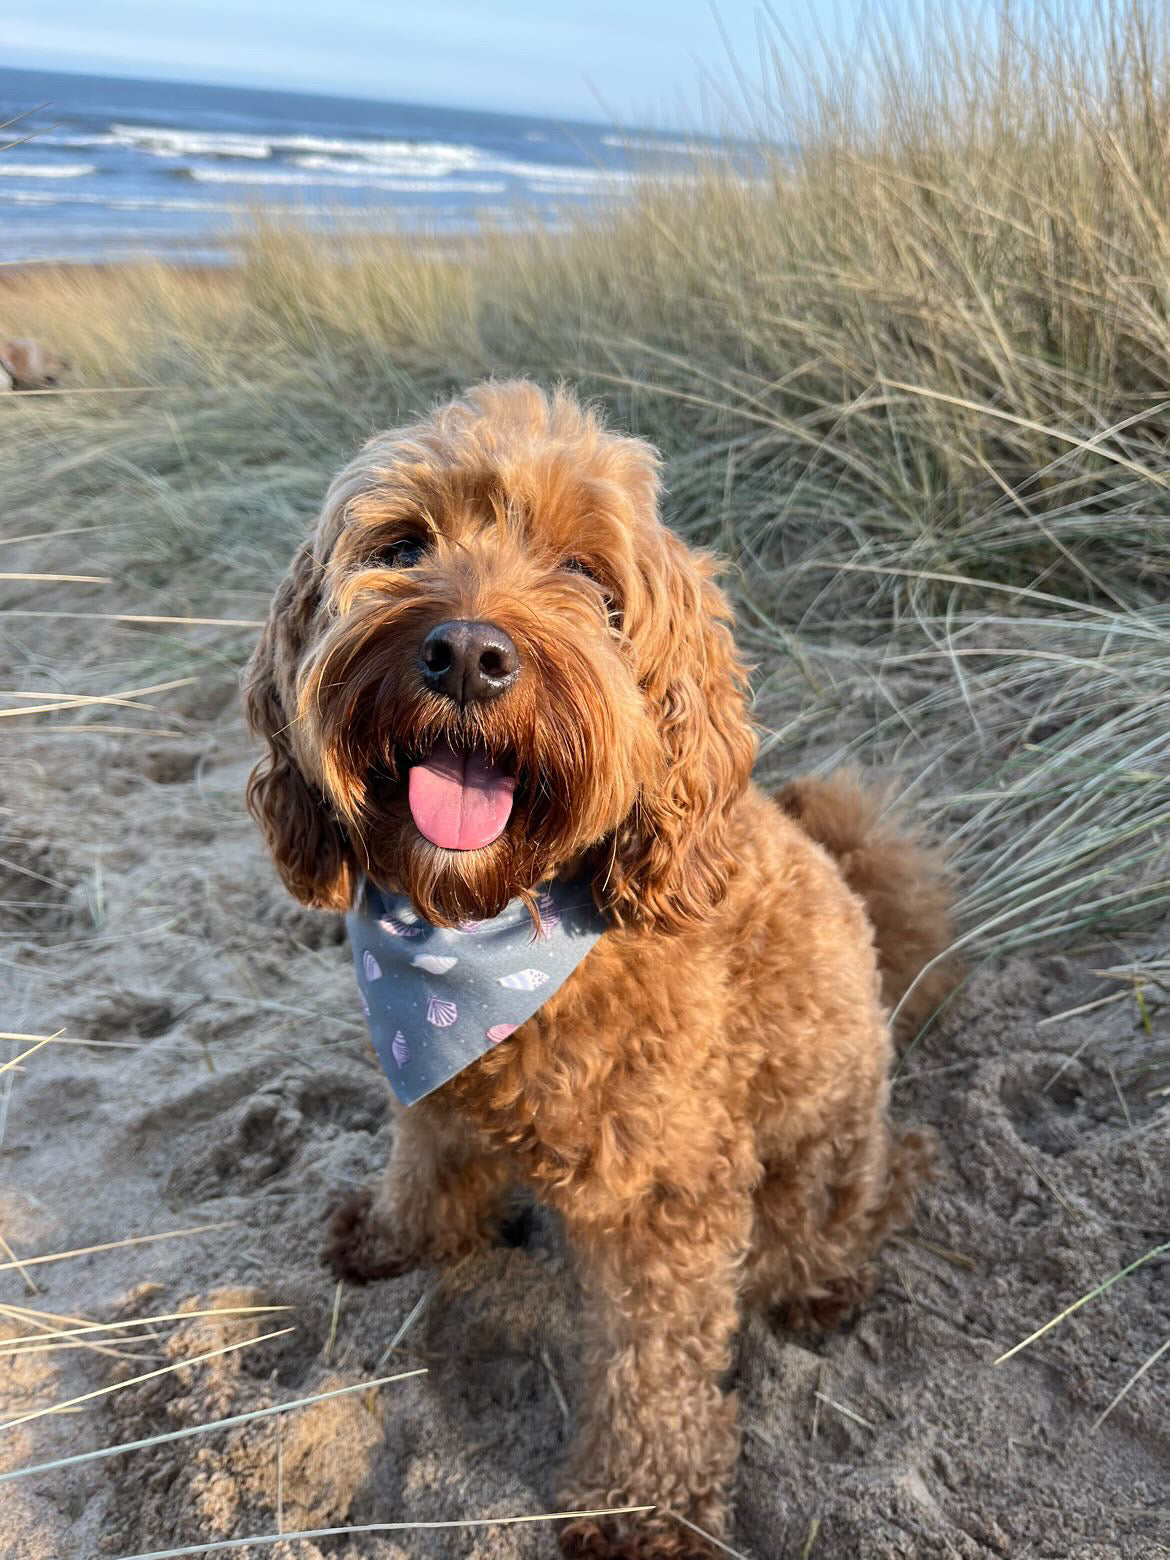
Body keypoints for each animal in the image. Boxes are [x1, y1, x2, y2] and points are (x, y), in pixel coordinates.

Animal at [243, 380, 954, 1560]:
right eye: (402, 545)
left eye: (585, 574)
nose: (467, 654)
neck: (491, 941)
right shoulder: (435, 1092)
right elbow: (423, 1162)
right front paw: (396, 1239)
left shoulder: (669, 1190)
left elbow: (652, 1362)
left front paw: (639, 1506)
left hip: (827, 1140)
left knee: (861, 1200)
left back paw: (820, 1281)